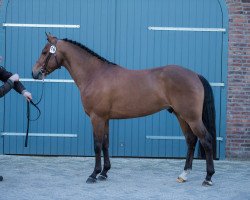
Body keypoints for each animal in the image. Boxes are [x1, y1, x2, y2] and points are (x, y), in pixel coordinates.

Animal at [32, 34, 216, 186]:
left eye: (44, 52)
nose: (34, 73)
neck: (94, 74)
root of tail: (195, 75)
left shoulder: (96, 118)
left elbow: (97, 145)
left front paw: (93, 174)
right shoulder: (105, 118)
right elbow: (105, 144)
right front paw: (104, 173)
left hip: (191, 118)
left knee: (206, 140)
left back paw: (208, 177)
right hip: (181, 116)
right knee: (191, 140)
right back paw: (184, 175)